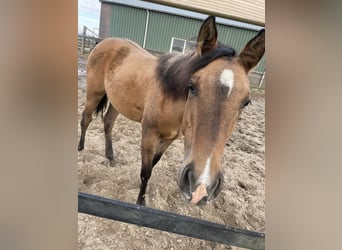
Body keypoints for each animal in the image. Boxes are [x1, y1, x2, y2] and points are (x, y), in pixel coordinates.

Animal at [77, 16, 264, 206]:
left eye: (246, 102)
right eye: (192, 87)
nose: (201, 186)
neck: (169, 98)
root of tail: (104, 42)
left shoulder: (169, 138)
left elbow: (153, 163)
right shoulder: (149, 133)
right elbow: (146, 170)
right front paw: (140, 202)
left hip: (117, 101)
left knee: (108, 123)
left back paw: (110, 157)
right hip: (94, 93)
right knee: (86, 119)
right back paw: (80, 150)